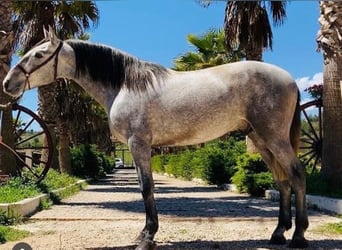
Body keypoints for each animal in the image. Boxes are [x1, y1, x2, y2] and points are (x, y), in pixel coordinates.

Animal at [2, 27, 308, 250]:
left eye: (39, 55)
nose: (8, 84)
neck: (124, 85)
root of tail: (289, 79)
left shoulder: (138, 144)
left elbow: (146, 188)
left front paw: (147, 237)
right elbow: (143, 187)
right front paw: (144, 234)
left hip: (273, 137)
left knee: (296, 174)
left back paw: (298, 236)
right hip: (260, 139)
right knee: (282, 180)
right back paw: (278, 233)